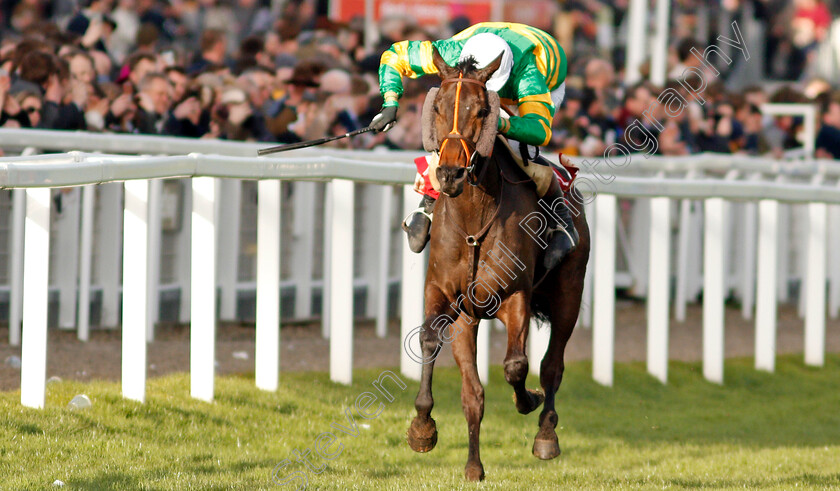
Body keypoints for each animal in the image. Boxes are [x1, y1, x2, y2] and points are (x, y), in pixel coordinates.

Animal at [406, 48, 592, 482]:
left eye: (481, 111)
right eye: (437, 107)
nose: (450, 173)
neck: (473, 222)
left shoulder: (515, 297)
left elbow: (516, 366)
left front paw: (528, 400)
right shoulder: (447, 298)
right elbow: (441, 355)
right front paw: (426, 430)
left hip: (569, 294)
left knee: (552, 364)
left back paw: (546, 434)